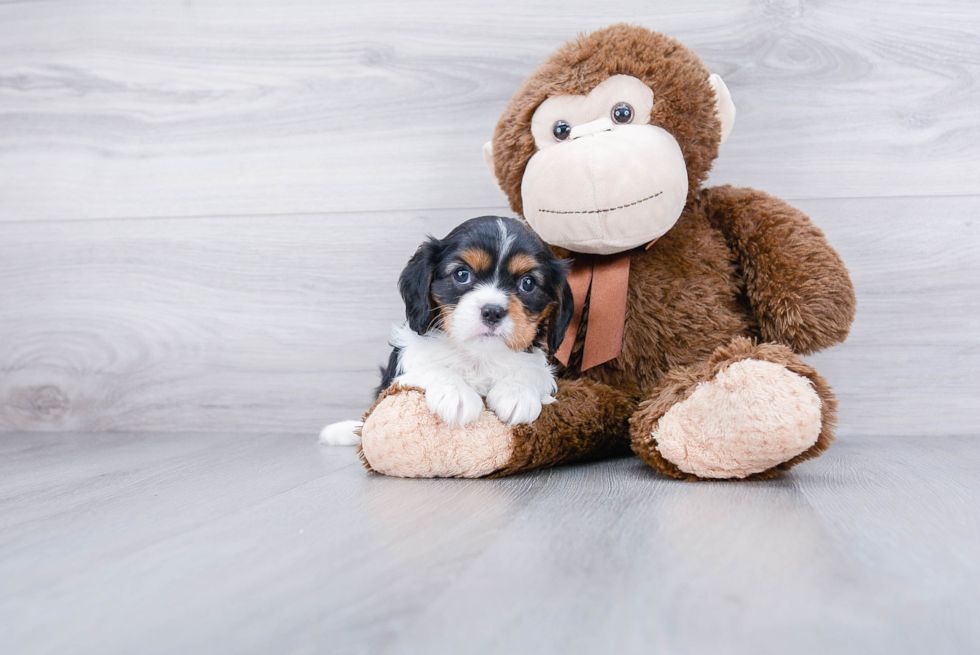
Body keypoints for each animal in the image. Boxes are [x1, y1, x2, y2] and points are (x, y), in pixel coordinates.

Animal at [322, 215, 572, 446]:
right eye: (462, 274)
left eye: (528, 283)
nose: (492, 312)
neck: (479, 355)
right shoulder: (401, 372)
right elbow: (432, 368)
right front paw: (456, 394)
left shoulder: (541, 368)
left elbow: (533, 371)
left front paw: (517, 393)